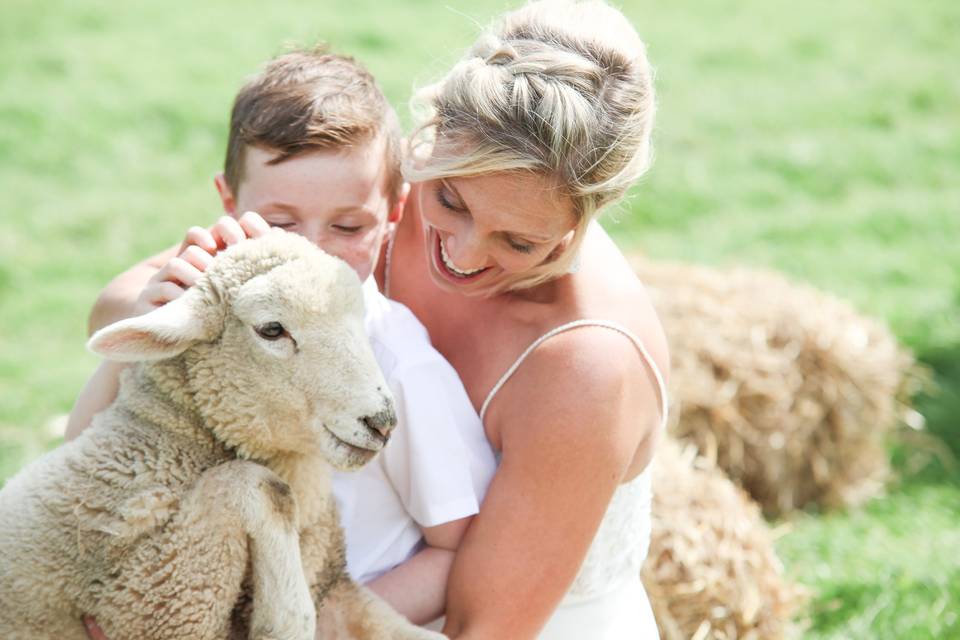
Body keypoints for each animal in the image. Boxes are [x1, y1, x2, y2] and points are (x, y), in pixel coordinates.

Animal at [0, 234, 446, 640]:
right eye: (272, 329)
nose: (382, 421)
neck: (166, 440)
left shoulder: (336, 587)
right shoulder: (155, 600)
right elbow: (259, 484)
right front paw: (284, 618)